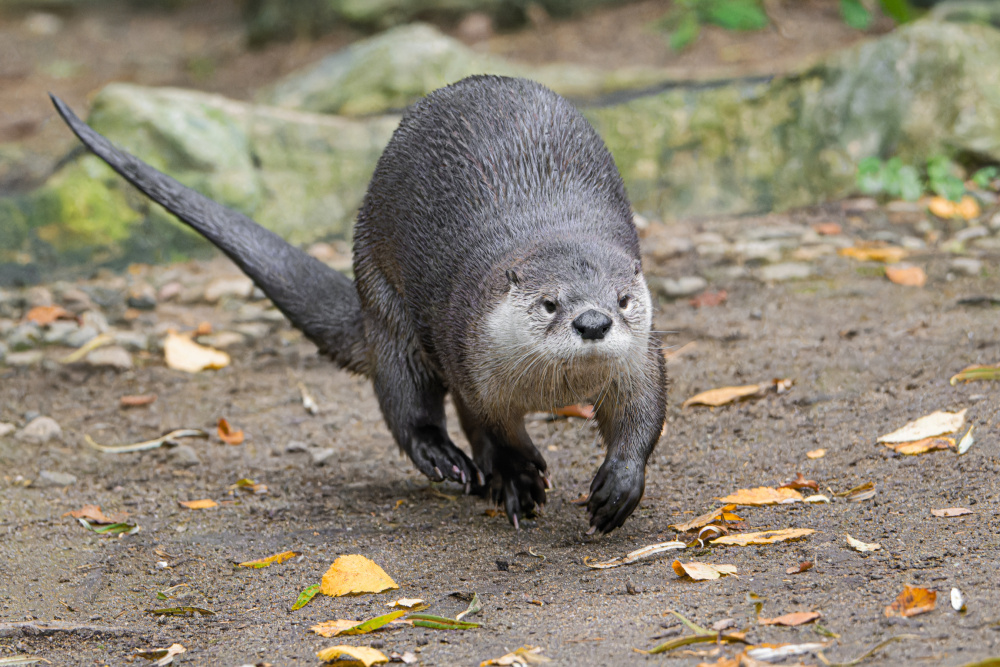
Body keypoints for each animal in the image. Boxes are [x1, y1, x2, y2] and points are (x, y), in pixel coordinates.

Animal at [50, 74, 668, 532]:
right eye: (548, 303)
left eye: (621, 299)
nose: (593, 321)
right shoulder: (471, 360)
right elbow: (491, 425)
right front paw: (518, 472)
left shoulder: (642, 358)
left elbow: (645, 412)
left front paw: (617, 486)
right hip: (384, 301)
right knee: (406, 402)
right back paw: (453, 462)